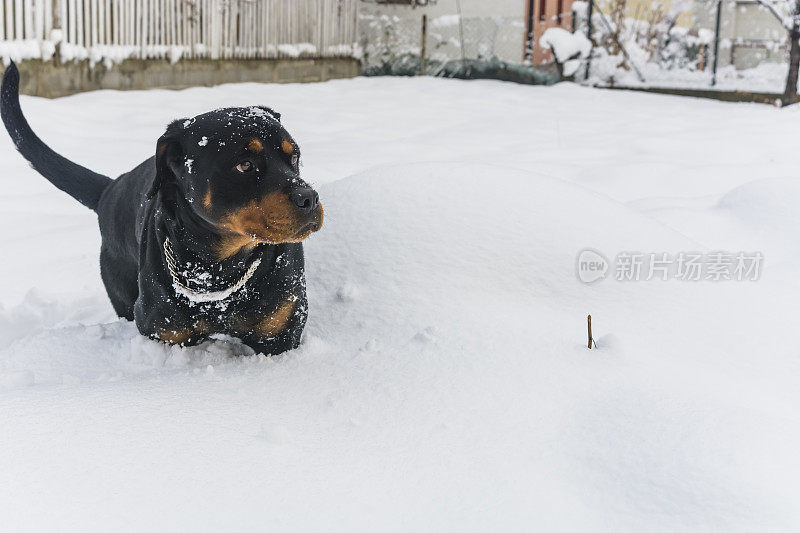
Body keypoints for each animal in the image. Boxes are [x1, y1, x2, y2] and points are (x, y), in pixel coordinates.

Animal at [3, 62, 322, 354]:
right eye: (245, 165)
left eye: (294, 157)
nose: (308, 197)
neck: (218, 269)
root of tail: (110, 190)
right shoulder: (165, 334)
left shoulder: (278, 335)